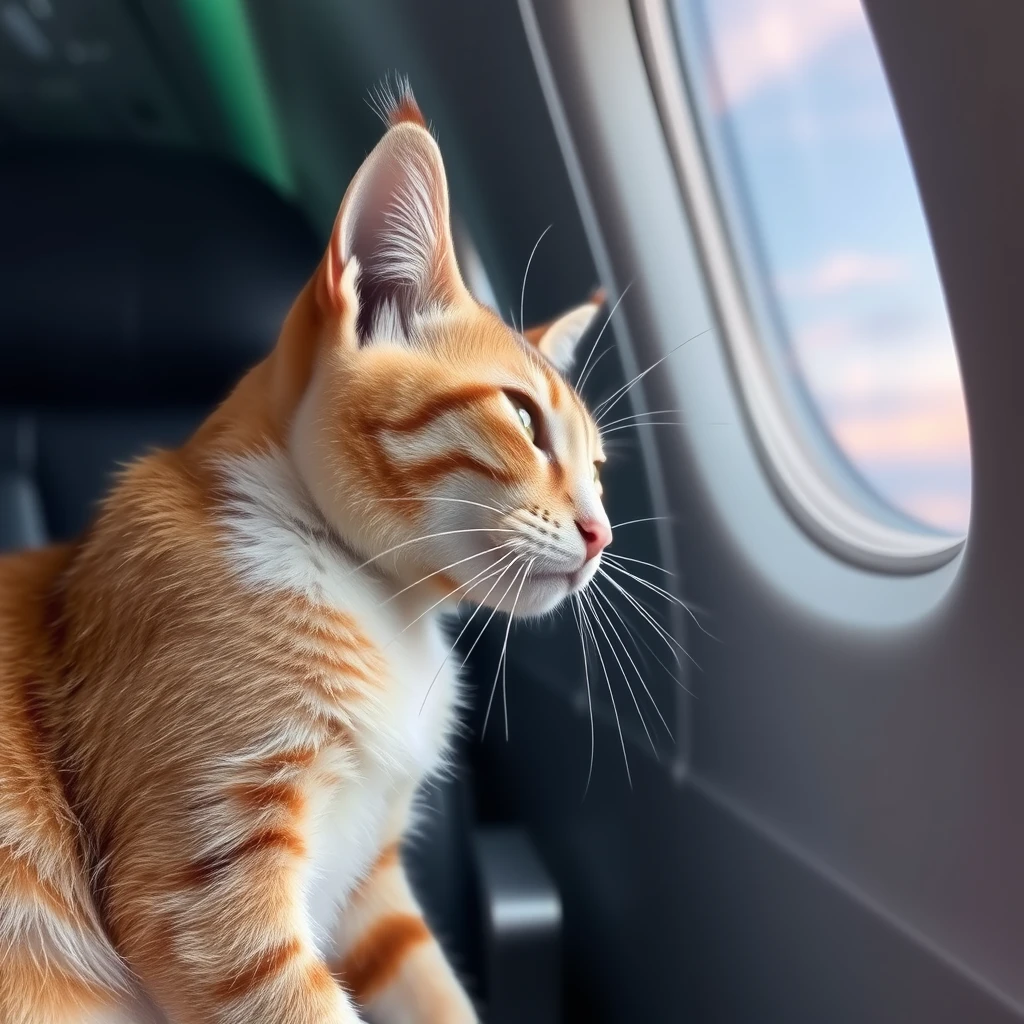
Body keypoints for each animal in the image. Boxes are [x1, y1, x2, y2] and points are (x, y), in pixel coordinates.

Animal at [0, 81, 606, 1024]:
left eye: (599, 467)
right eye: (523, 419)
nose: (601, 532)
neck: (384, 608)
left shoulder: (373, 891)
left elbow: (434, 992)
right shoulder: (209, 896)